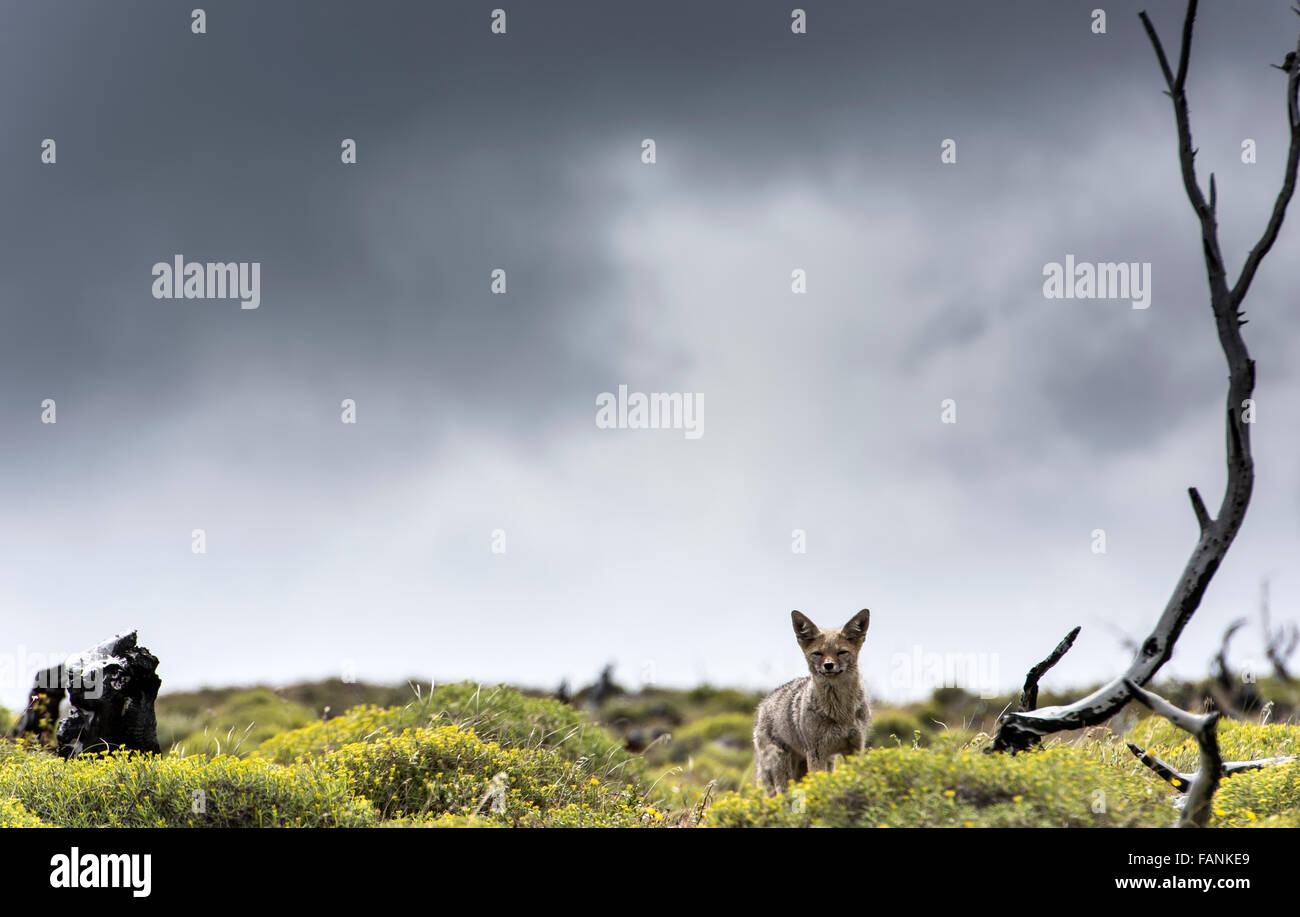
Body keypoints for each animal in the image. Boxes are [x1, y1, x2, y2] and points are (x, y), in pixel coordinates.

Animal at [754, 608, 873, 796]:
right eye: (818, 653)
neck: (841, 712)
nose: (829, 665)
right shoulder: (817, 753)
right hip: (784, 769)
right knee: (780, 794)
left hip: (821, 763)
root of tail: (764, 704)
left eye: (842, 652)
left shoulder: (854, 748)